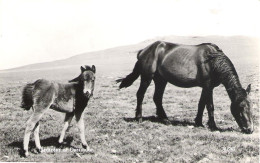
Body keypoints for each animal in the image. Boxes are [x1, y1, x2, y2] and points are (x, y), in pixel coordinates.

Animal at [118, 40, 254, 134]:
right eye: (240, 108)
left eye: (251, 107)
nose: (249, 129)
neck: (212, 60)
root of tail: (143, 50)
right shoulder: (208, 87)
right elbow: (210, 106)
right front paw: (213, 126)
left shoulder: (206, 88)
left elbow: (201, 104)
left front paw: (198, 122)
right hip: (147, 77)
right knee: (140, 94)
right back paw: (139, 118)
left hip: (161, 80)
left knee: (157, 98)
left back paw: (165, 119)